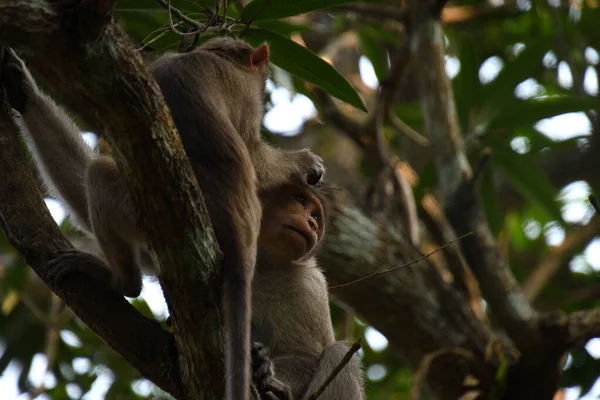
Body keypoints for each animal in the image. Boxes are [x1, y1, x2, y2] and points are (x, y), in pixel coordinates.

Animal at [0, 38, 324, 400]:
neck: (209, 55)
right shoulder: (245, 95)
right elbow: (255, 155)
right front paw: (304, 163)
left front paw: (21, 86)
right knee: (100, 174)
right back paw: (124, 282)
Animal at [246, 183, 364, 398]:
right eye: (301, 200)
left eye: (316, 216)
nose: (313, 223)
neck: (262, 267)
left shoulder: (308, 286)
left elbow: (305, 356)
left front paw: (267, 371)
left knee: (340, 353)